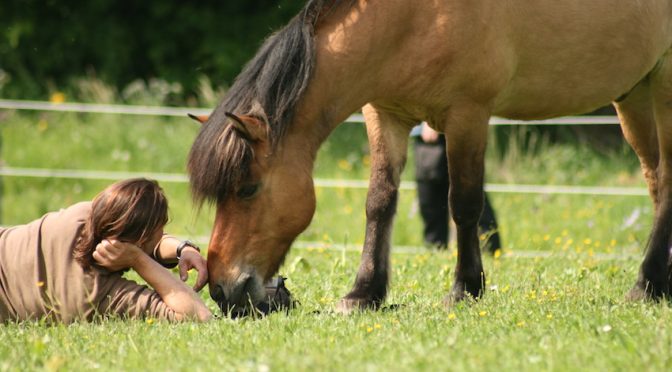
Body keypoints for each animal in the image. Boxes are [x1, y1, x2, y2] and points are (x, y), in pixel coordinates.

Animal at [186, 0, 672, 314]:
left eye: (248, 189)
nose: (223, 290)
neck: (417, 17)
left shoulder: (468, 115)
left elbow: (465, 204)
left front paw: (464, 289)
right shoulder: (385, 115)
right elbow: (379, 203)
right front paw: (364, 293)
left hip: (663, 86)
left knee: (665, 182)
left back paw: (646, 286)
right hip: (633, 96)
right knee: (654, 180)